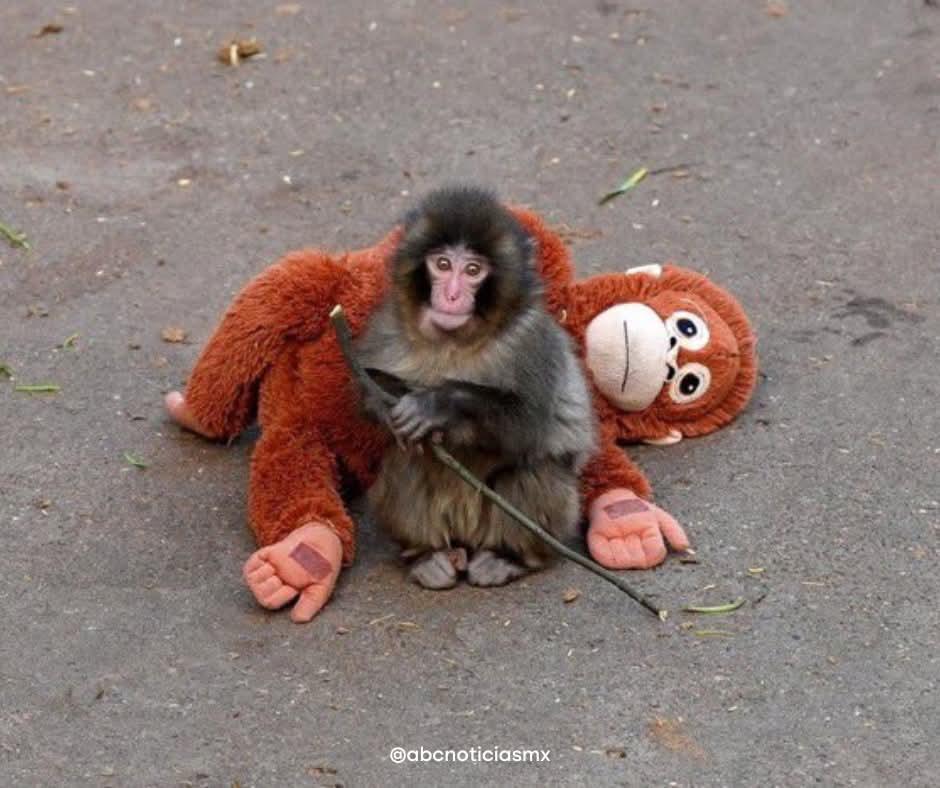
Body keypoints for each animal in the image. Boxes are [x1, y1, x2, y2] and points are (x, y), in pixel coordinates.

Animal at [355, 185, 598, 590]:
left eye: (472, 270)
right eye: (441, 264)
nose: (452, 296)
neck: (455, 342)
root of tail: (467, 540)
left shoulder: (531, 342)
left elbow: (527, 428)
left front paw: (437, 405)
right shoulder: (385, 325)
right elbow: (364, 394)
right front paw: (392, 404)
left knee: (531, 471)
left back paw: (508, 557)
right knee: (406, 461)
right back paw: (427, 555)